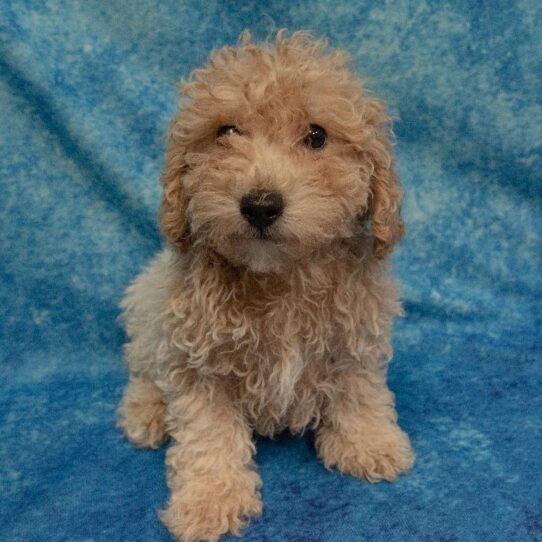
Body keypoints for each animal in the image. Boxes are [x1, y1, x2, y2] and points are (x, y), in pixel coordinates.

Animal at [118, 31, 416, 542]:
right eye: (226, 132)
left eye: (316, 136)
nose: (260, 204)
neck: (280, 278)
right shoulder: (198, 360)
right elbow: (207, 434)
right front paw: (209, 500)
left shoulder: (353, 337)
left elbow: (359, 390)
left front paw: (369, 443)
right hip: (148, 305)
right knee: (142, 368)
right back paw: (145, 411)